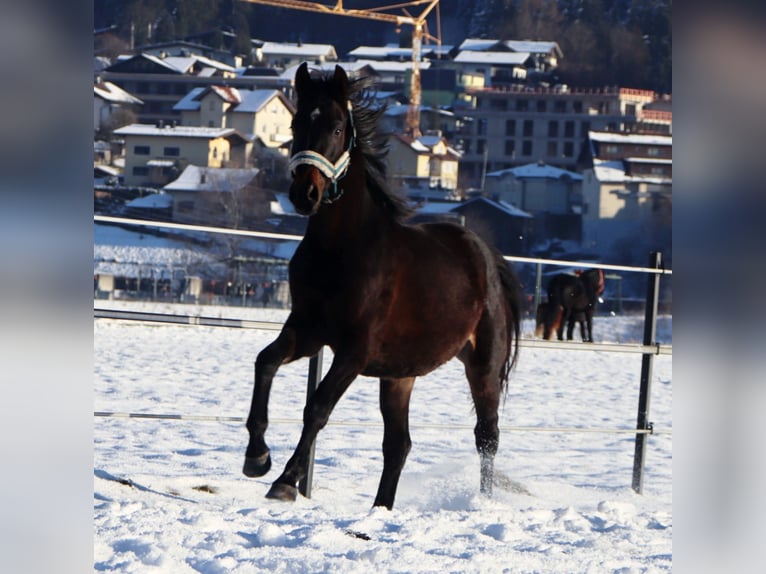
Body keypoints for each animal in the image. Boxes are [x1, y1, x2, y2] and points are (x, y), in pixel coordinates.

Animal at [243, 63, 524, 510]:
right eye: (296, 122)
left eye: (338, 127)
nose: (305, 194)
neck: (340, 251)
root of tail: (486, 257)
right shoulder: (306, 331)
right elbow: (264, 363)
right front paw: (256, 457)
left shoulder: (354, 351)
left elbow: (317, 407)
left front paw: (285, 480)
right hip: (398, 377)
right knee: (399, 445)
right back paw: (381, 508)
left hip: (483, 366)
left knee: (487, 437)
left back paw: (481, 503)